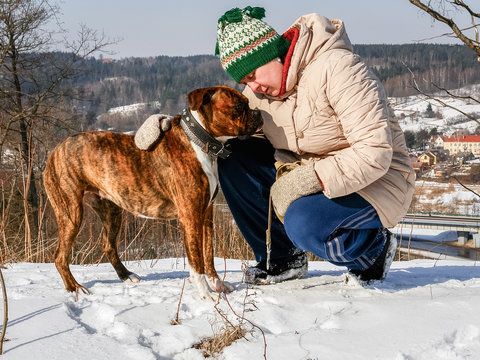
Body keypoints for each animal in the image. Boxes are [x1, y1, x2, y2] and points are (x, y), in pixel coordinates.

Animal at [44, 86, 262, 300]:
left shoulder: (207, 215)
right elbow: (197, 259)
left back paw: (126, 275)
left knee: (108, 245)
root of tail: (55, 149)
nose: (259, 113)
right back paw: (75, 288)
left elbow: (208, 253)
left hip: (111, 211)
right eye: (239, 106)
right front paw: (206, 293)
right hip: (71, 212)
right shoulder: (191, 217)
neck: (200, 141)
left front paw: (217, 284)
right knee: (60, 256)